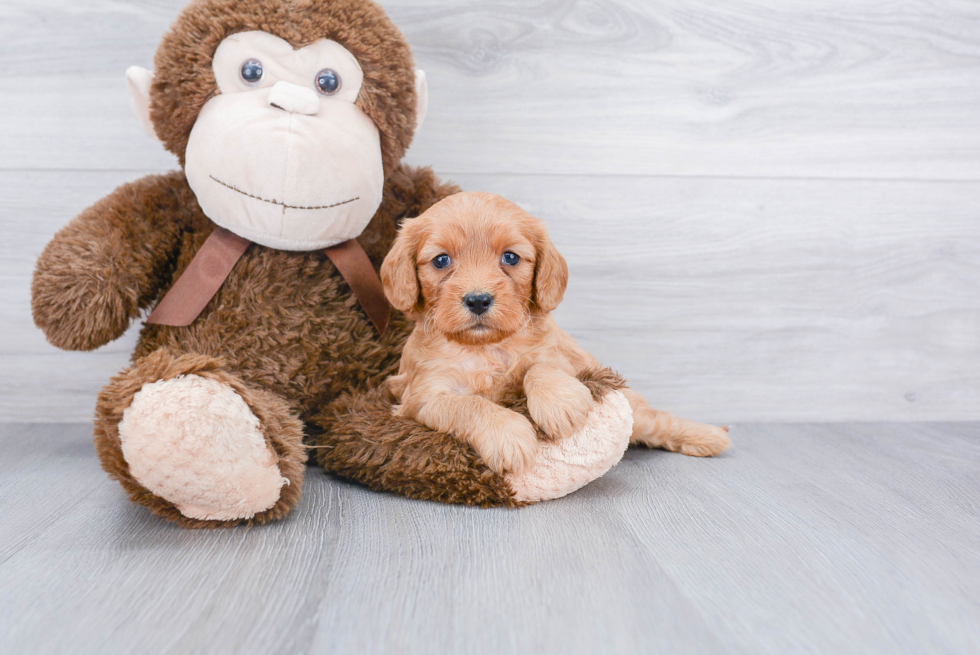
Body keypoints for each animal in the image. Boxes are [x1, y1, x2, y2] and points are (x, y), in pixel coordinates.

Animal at [378, 192, 732, 474]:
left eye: (510, 257)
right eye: (441, 260)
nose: (478, 300)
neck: (485, 346)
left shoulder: (566, 359)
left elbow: (541, 366)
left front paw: (558, 404)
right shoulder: (422, 396)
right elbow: (468, 405)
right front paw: (507, 434)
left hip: (639, 413)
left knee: (659, 421)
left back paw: (709, 436)